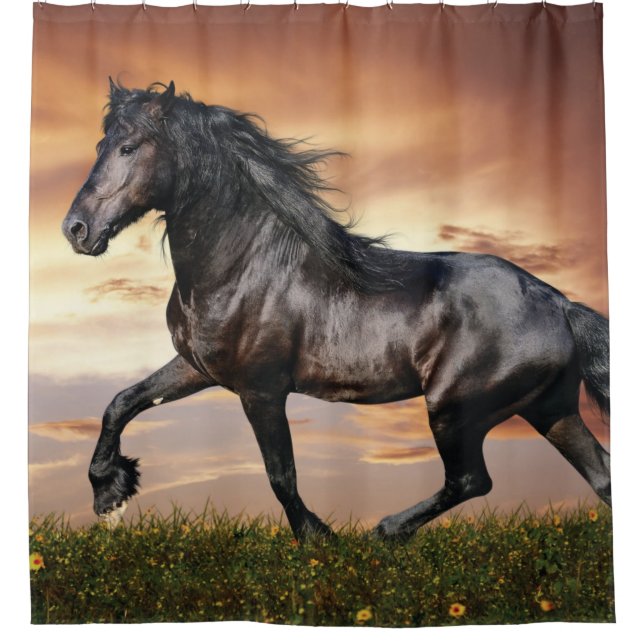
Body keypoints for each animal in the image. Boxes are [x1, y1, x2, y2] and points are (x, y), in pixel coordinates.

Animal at [61, 80, 610, 540]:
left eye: (129, 147)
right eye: (100, 146)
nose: (76, 229)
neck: (242, 265)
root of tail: (560, 304)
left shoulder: (261, 390)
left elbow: (280, 475)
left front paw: (318, 539)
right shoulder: (198, 368)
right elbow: (122, 402)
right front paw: (110, 493)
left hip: (456, 409)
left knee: (471, 480)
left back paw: (385, 531)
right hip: (550, 410)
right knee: (601, 476)